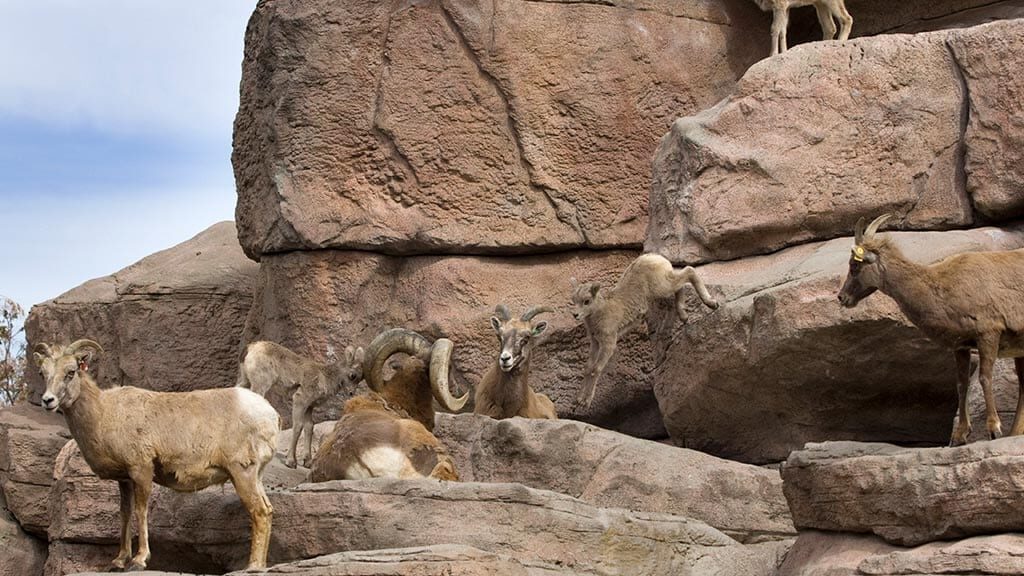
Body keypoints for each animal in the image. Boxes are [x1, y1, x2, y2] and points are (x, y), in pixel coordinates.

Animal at [34, 338, 278, 565]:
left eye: (71, 372)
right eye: (43, 373)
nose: (48, 401)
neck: (104, 413)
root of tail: (270, 415)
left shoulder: (141, 470)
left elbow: (141, 511)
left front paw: (140, 559)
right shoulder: (125, 479)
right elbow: (125, 513)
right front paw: (120, 560)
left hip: (242, 472)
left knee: (259, 513)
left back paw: (253, 566)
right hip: (255, 476)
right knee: (267, 510)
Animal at [235, 340, 364, 467]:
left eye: (361, 378)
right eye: (353, 375)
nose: (351, 393)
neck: (324, 377)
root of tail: (249, 348)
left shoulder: (309, 406)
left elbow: (309, 427)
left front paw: (308, 462)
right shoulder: (300, 399)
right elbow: (298, 426)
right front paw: (291, 461)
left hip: (245, 380)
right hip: (260, 384)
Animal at [569, 252, 720, 407]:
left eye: (587, 301)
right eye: (574, 300)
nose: (575, 314)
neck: (600, 314)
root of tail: (655, 257)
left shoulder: (608, 342)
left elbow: (596, 369)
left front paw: (586, 402)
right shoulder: (595, 342)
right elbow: (588, 368)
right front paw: (579, 400)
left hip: (662, 286)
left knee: (689, 271)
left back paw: (711, 303)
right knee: (680, 286)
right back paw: (684, 315)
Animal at [835, 214, 1024, 444]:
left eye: (854, 264)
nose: (842, 297)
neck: (942, 286)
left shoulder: (988, 334)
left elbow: (984, 378)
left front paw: (994, 429)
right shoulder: (961, 346)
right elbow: (961, 385)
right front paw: (959, 436)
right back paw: (1015, 433)